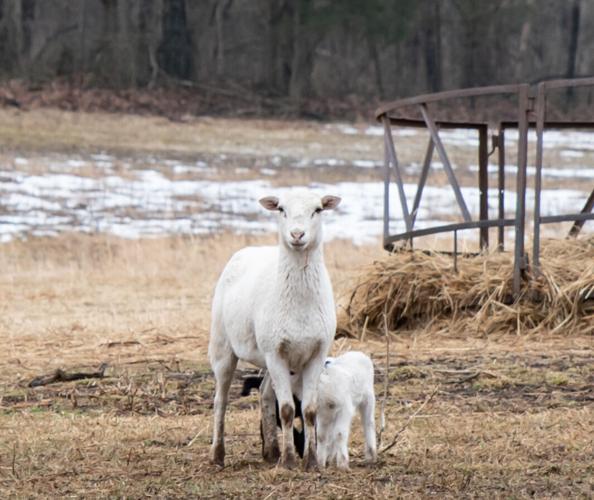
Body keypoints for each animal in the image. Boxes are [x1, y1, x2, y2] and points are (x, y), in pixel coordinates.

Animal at [208, 188, 340, 468]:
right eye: (281, 209)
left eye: (318, 209)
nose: (297, 235)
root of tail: (246, 250)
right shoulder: (275, 352)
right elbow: (288, 410)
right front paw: (289, 461)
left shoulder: (316, 353)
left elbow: (309, 410)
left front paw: (311, 461)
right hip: (224, 346)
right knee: (220, 400)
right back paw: (218, 454)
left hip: (270, 356)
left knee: (265, 393)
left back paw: (270, 451)